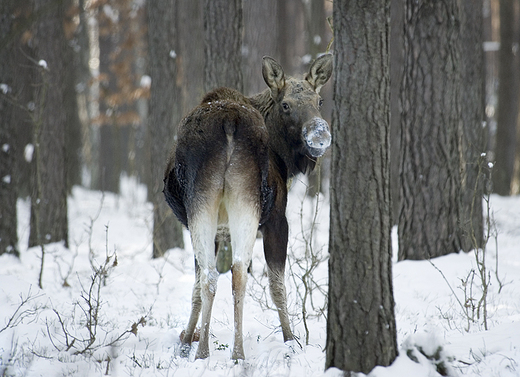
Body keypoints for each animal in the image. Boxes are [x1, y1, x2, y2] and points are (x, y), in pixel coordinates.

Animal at [162, 53, 334, 358]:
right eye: (286, 104)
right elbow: (277, 285)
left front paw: (186, 342)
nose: (319, 136)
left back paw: (219, 352)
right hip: (239, 205)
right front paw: (291, 341)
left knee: (221, 274)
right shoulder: (277, 218)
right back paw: (226, 352)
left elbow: (198, 288)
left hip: (213, 202)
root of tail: (230, 122)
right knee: (229, 273)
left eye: (320, 101)